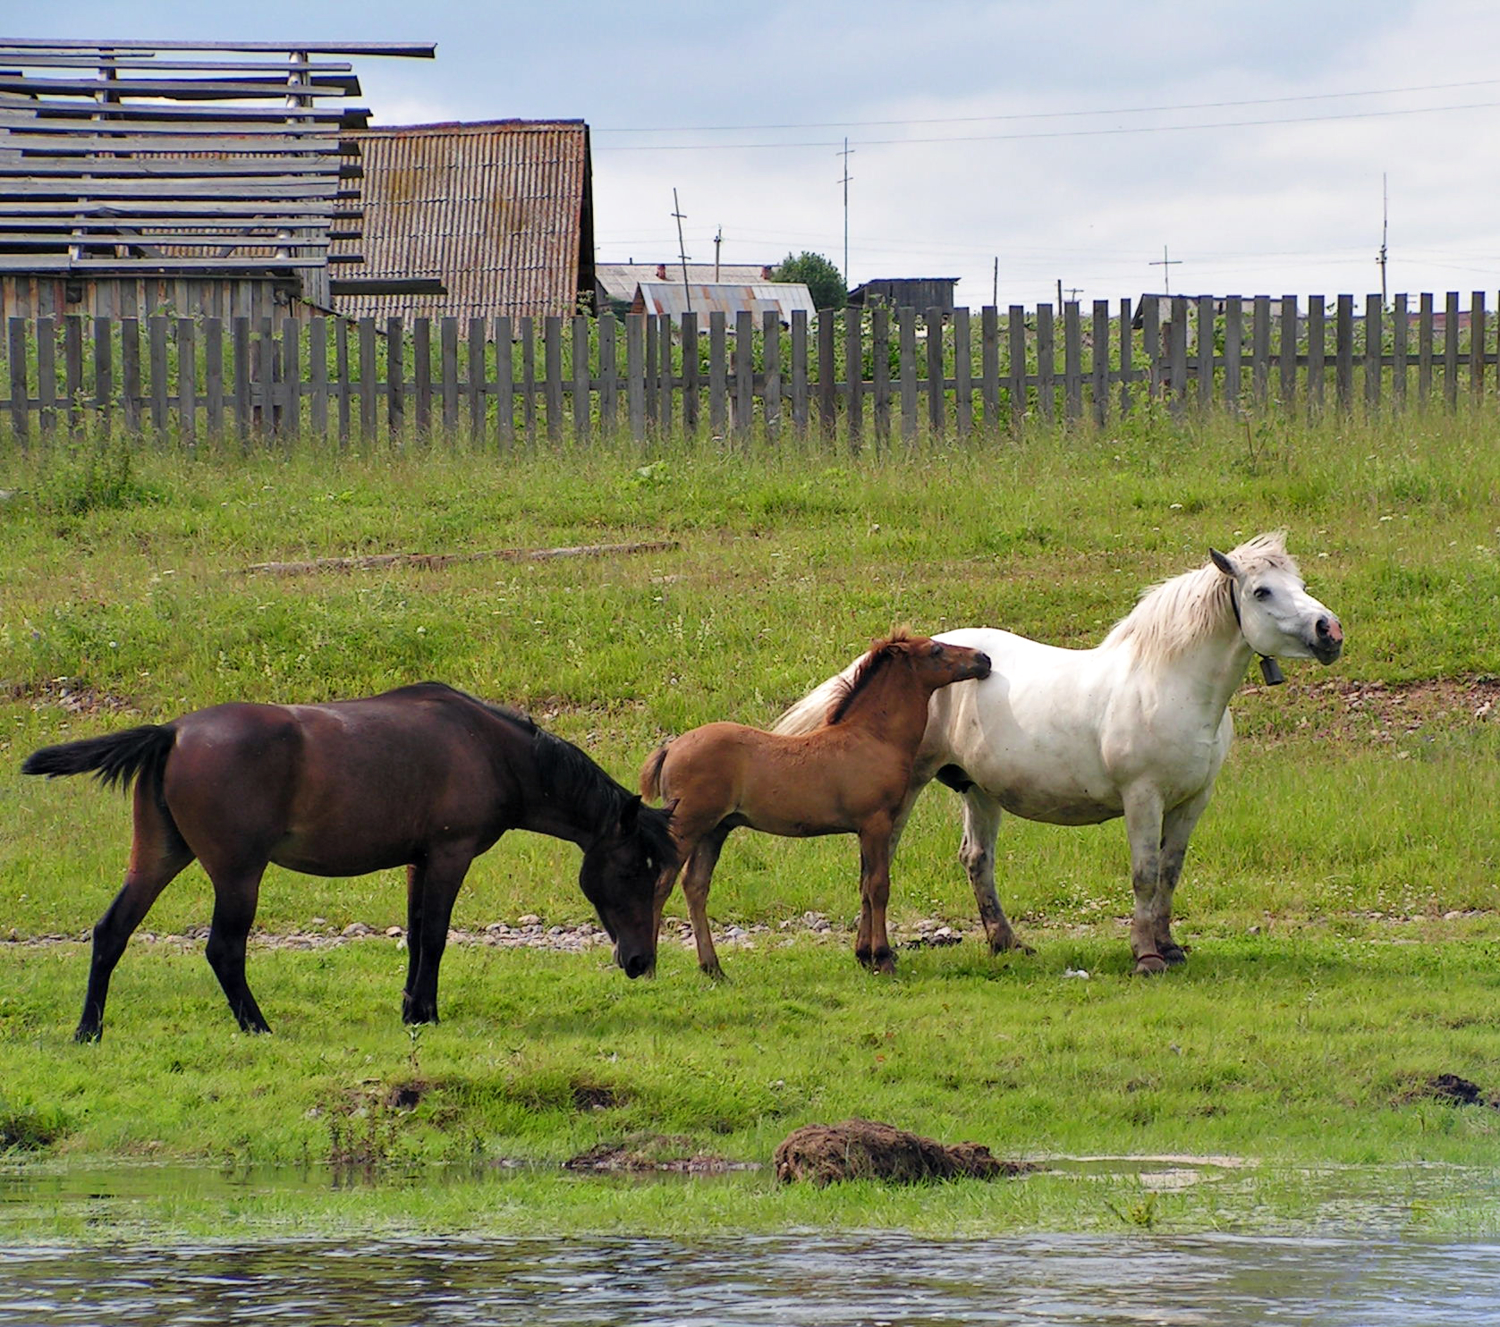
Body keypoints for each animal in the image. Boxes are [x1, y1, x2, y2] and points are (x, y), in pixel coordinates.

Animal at [23, 683, 678, 1037]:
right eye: (631, 871)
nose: (640, 961)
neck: (490, 747)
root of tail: (173, 732)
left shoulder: (419, 860)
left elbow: (415, 934)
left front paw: (413, 1008)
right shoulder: (450, 855)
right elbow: (434, 936)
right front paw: (426, 1013)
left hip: (158, 857)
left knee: (111, 932)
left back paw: (88, 1030)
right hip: (237, 874)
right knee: (223, 950)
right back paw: (258, 1026)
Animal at [639, 626, 990, 977]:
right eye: (935, 650)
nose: (983, 659)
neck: (874, 738)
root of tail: (670, 749)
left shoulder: (865, 830)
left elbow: (864, 886)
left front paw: (864, 956)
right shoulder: (876, 823)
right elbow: (878, 887)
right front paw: (883, 958)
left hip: (715, 829)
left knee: (696, 886)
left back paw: (713, 968)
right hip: (688, 827)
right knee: (661, 884)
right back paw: (648, 967)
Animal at [774, 530, 1350, 971]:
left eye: (1299, 585)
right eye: (1262, 591)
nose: (1331, 630)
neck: (1170, 684)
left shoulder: (1193, 801)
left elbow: (1169, 872)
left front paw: (1169, 947)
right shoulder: (1143, 798)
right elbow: (1144, 873)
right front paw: (1146, 957)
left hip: (979, 790)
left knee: (976, 860)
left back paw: (1006, 944)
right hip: (908, 787)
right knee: (881, 863)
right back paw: (876, 953)